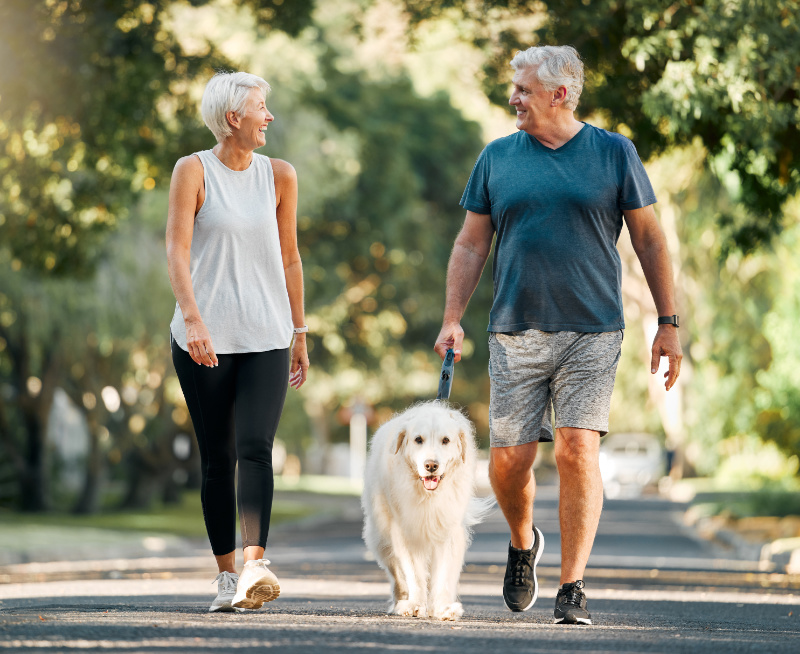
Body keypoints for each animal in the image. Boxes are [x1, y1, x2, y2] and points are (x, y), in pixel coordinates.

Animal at [360, 402, 488, 624]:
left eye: (446, 440)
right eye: (418, 439)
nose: (431, 465)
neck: (428, 496)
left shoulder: (448, 532)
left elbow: (444, 575)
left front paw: (444, 608)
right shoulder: (406, 533)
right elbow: (414, 574)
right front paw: (415, 606)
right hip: (381, 537)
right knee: (398, 575)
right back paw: (401, 601)